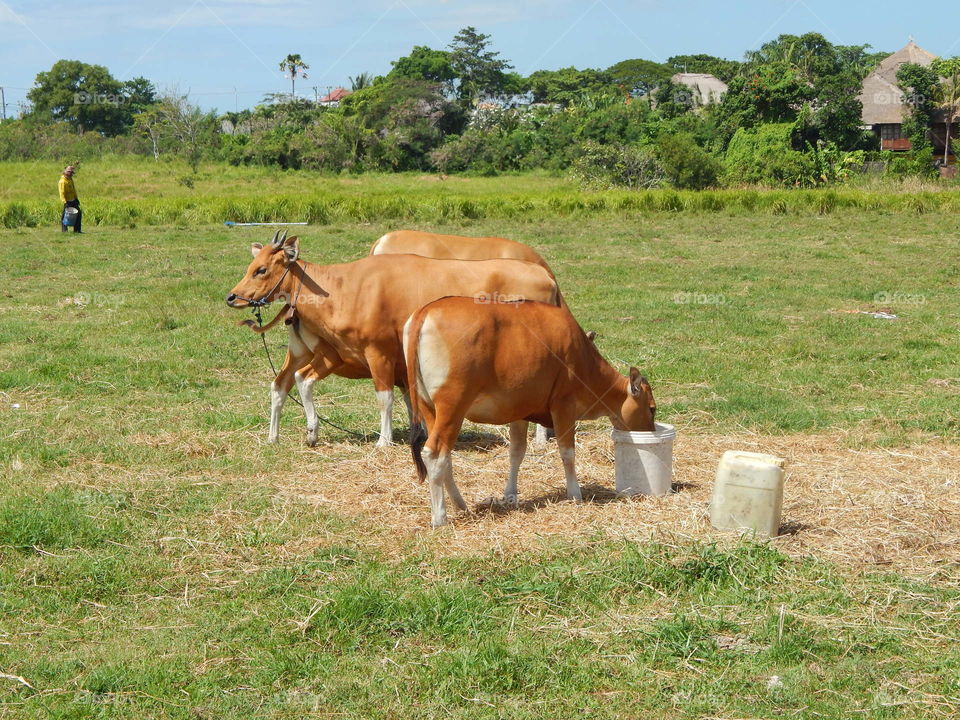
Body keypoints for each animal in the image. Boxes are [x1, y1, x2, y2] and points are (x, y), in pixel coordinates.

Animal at [226, 232, 561, 447]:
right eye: (250, 267)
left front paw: (384, 441)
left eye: (261, 270)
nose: (232, 296)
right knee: (284, 383)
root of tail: (545, 276)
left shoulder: (379, 353)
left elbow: (384, 397)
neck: (346, 287)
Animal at [404, 297, 657, 527]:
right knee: (434, 453)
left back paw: (460, 504)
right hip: (453, 406)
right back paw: (440, 517)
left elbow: (516, 452)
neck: (582, 358)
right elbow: (567, 452)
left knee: (445, 456)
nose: (651, 430)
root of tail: (426, 311)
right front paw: (575, 493)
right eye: (652, 408)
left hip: (430, 408)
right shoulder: (564, 405)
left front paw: (510, 494)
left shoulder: (519, 411)